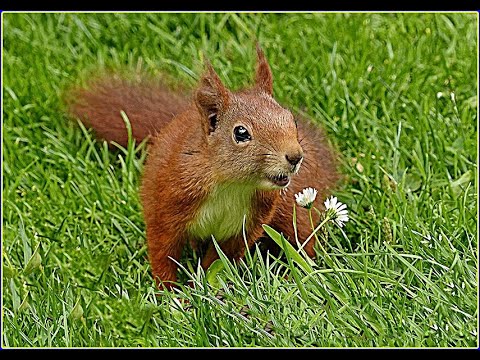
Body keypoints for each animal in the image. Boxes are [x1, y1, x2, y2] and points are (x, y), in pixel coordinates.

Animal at [67, 45, 340, 290]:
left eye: (290, 119)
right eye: (241, 133)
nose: (295, 156)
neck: (232, 184)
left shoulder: (248, 223)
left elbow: (220, 259)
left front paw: (200, 286)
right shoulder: (168, 200)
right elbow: (162, 248)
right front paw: (167, 292)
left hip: (292, 207)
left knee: (302, 239)